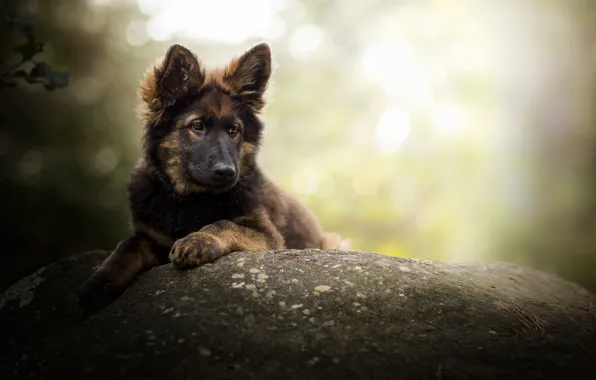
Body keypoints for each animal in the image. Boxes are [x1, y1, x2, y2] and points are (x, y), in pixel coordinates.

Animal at [78, 42, 350, 314]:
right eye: (197, 126)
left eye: (233, 130)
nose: (227, 171)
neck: (190, 200)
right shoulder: (152, 237)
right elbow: (128, 244)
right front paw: (99, 283)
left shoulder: (269, 235)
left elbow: (224, 223)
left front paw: (198, 239)